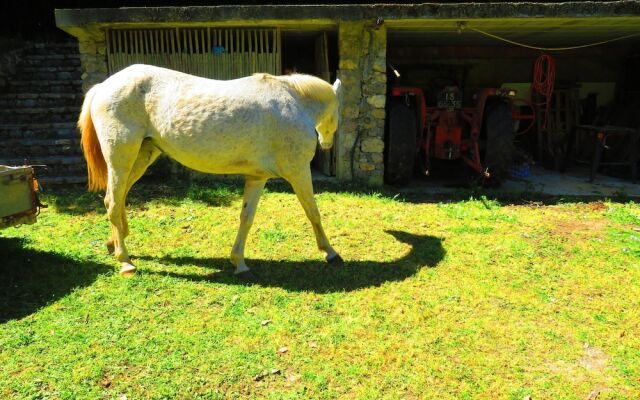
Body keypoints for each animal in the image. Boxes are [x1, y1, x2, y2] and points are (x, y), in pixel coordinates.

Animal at [79, 64, 344, 276]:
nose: (327, 144)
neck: (294, 103)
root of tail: (103, 86)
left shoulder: (257, 177)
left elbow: (246, 218)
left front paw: (239, 263)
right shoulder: (298, 171)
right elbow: (313, 212)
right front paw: (330, 253)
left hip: (141, 158)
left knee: (117, 199)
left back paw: (114, 243)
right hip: (120, 159)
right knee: (114, 203)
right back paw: (125, 262)